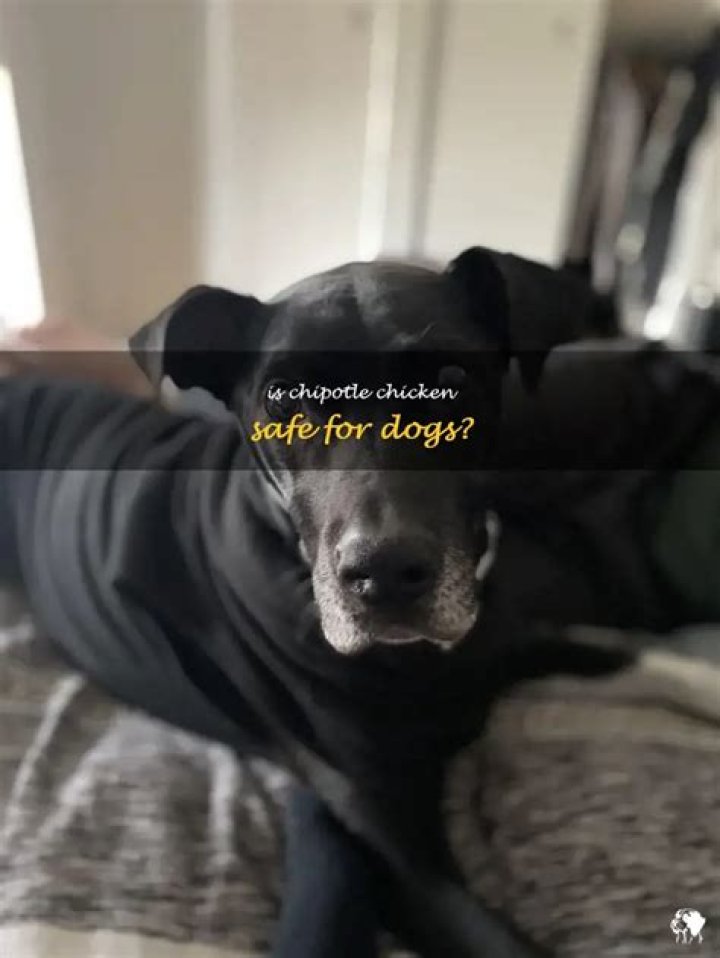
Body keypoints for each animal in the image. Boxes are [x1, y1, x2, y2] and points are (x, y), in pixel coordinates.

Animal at [3, 246, 720, 956]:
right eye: (285, 397)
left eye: (451, 375)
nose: (385, 575)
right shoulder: (404, 868)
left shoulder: (508, 639)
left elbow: (645, 660)